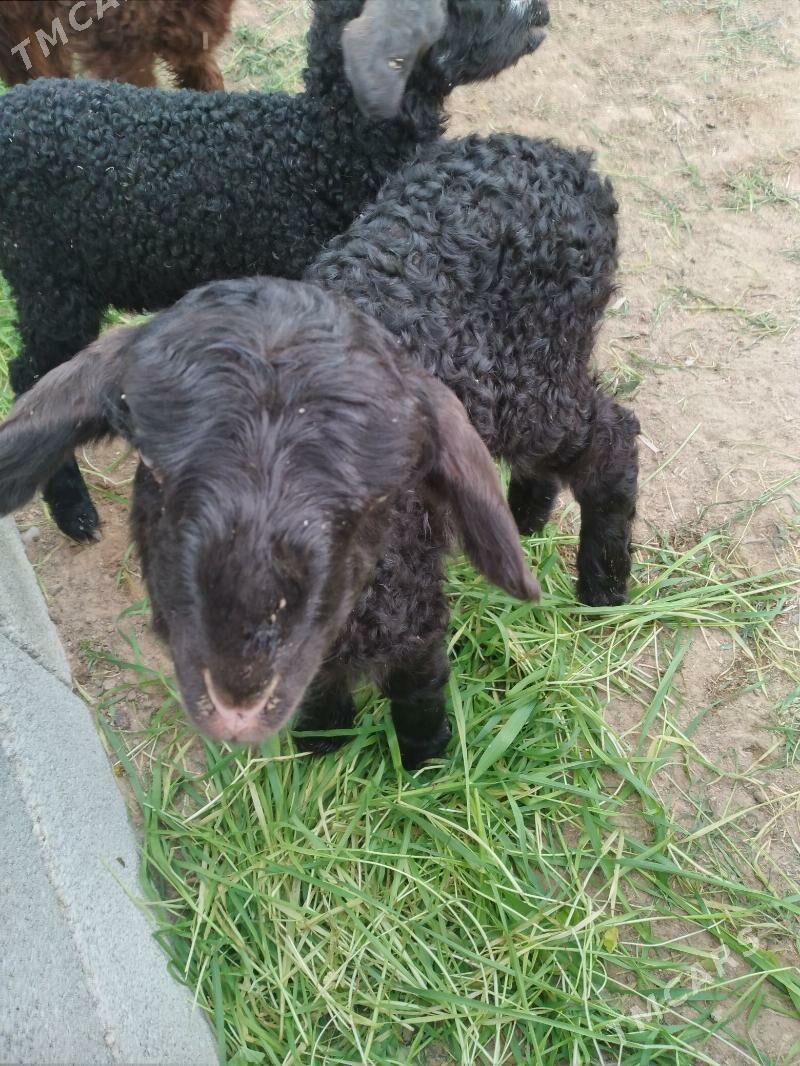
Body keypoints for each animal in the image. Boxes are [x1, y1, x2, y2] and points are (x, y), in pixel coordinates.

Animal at [0, 277, 540, 768]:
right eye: (152, 468)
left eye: (377, 497)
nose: (237, 705)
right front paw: (322, 740)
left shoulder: (417, 622)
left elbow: (418, 689)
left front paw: (424, 759)